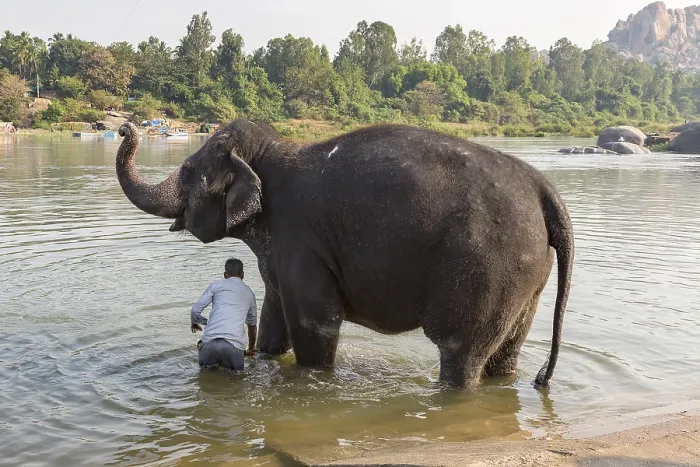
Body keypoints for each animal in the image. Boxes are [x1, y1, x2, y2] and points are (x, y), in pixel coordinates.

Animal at [115, 120, 574, 390]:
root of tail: (544, 190)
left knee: (459, 351)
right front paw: (266, 358)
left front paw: (311, 378)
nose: (124, 127)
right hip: (526, 274)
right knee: (506, 351)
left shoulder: (300, 237)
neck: (272, 152)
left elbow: (314, 321)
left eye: (188, 171)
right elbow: (273, 316)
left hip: (488, 264)